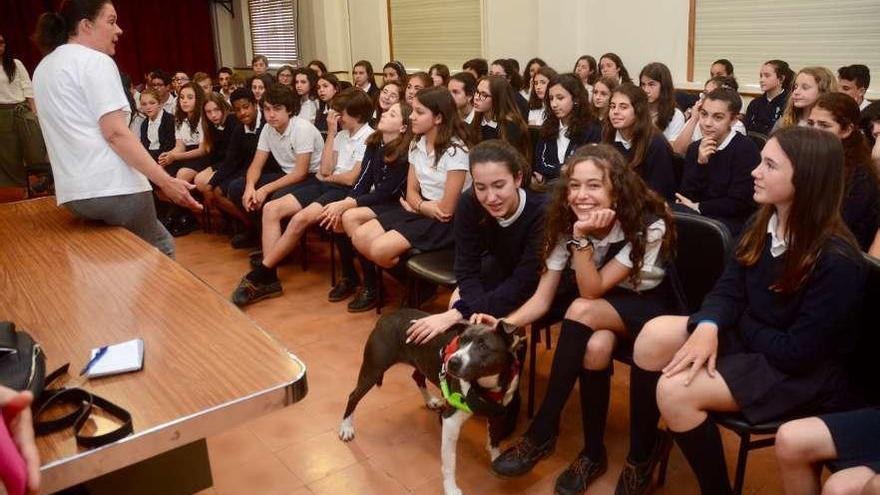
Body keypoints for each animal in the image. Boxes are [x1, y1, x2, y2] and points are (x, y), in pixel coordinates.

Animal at [340, 308, 524, 494]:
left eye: (483, 346)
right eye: (461, 341)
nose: (453, 362)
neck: (486, 386)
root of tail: (387, 316)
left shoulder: (498, 414)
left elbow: (494, 440)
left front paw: (496, 459)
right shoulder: (451, 422)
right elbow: (450, 463)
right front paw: (451, 488)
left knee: (417, 377)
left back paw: (430, 400)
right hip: (373, 369)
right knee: (353, 396)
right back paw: (346, 428)